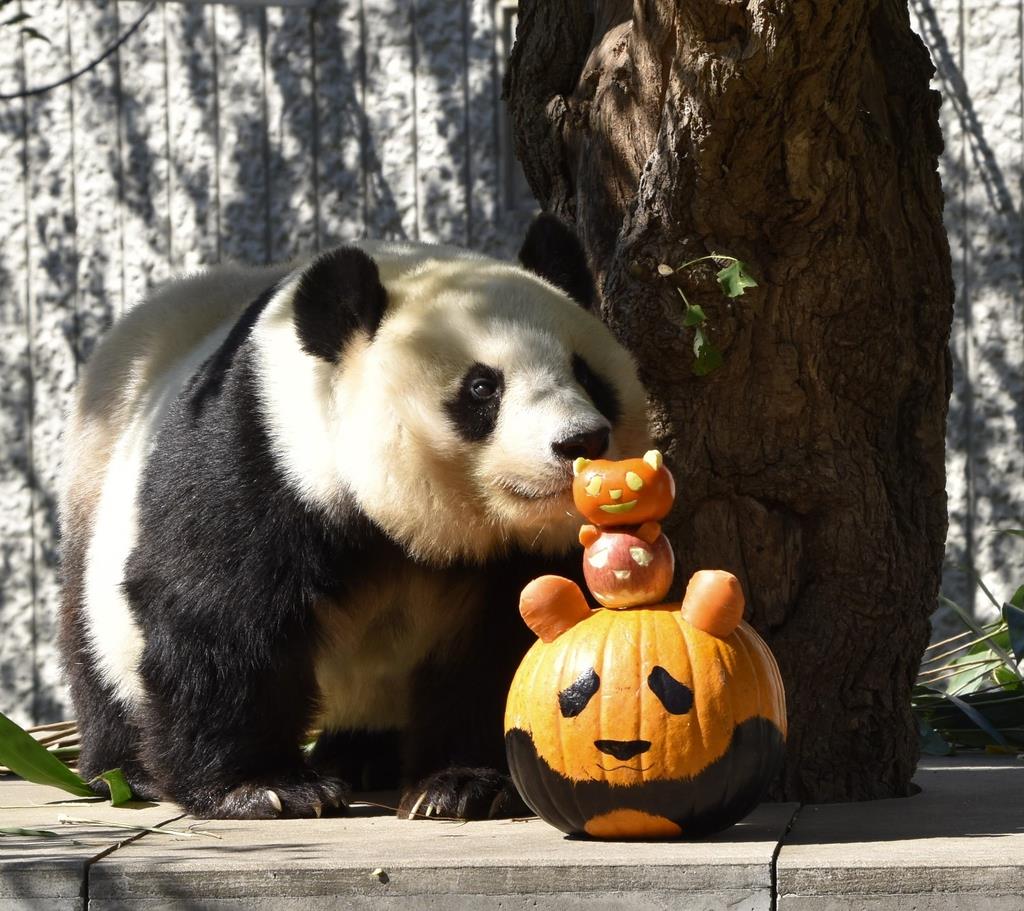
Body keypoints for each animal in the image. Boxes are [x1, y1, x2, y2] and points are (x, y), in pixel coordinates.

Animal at [58, 212, 647, 814]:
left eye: (587, 375)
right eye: (483, 386)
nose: (581, 440)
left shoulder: (519, 553)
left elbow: (506, 647)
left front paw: (464, 784)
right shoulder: (265, 456)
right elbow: (219, 612)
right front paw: (264, 787)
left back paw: (362, 756)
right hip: (98, 483)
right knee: (93, 645)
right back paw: (123, 770)